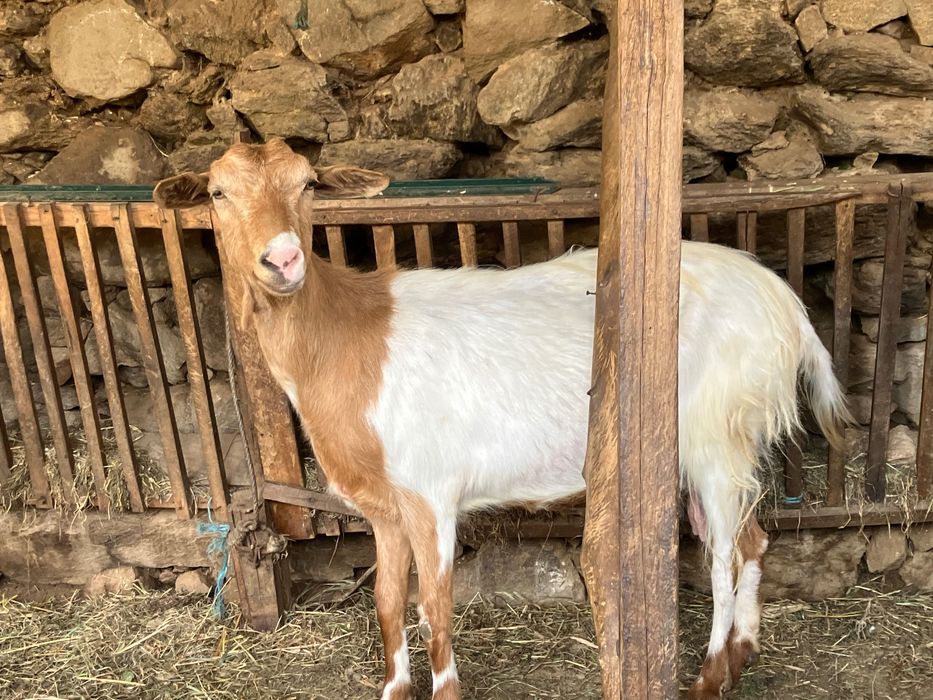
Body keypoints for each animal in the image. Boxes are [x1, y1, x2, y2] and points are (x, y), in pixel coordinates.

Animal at [154, 138, 850, 700]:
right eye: (216, 192)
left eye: (307, 184)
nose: (283, 260)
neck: (349, 337)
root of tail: (786, 307)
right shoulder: (382, 506)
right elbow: (386, 604)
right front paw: (393, 689)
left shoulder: (430, 493)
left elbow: (435, 609)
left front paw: (446, 691)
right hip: (721, 441)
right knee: (752, 540)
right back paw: (741, 656)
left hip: (716, 431)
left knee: (724, 556)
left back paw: (707, 679)